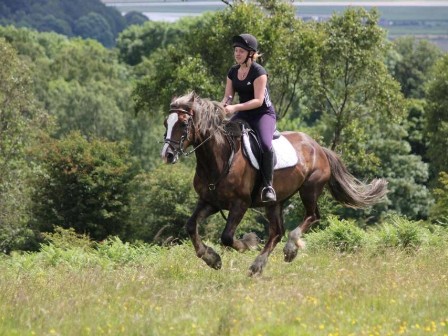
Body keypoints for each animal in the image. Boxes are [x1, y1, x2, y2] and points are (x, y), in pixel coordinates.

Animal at [161, 92, 388, 276]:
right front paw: (211, 258)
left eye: (183, 124)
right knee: (277, 232)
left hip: (309, 189)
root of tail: (319, 147)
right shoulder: (210, 202)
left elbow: (226, 236)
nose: (168, 155)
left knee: (311, 216)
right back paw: (258, 265)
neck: (219, 158)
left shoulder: (240, 204)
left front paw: (247, 244)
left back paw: (290, 249)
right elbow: (191, 226)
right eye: (166, 123)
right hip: (274, 202)